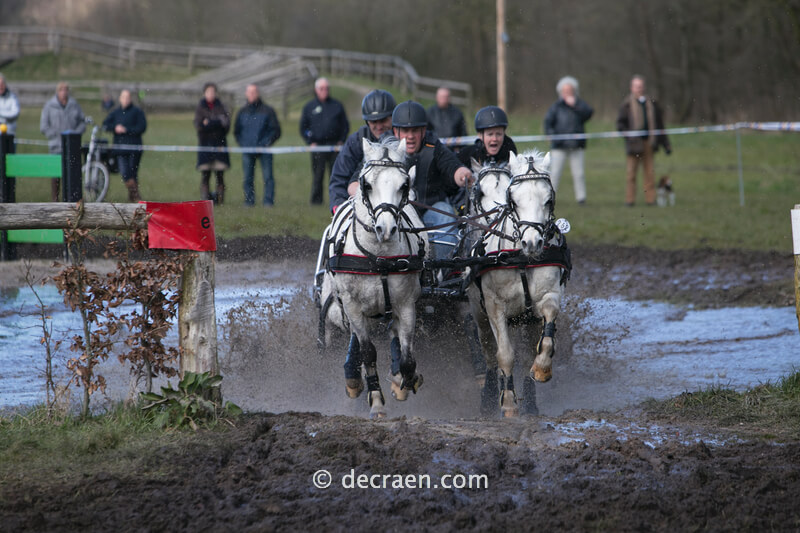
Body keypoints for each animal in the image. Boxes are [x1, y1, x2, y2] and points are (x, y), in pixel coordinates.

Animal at [320, 136, 428, 418]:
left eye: (404, 184)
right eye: (366, 184)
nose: (386, 229)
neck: (378, 258)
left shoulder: (406, 304)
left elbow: (407, 356)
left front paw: (405, 380)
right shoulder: (353, 306)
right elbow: (367, 352)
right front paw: (376, 401)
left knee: (394, 334)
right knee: (357, 342)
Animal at [464, 150, 571, 417]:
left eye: (548, 199)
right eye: (513, 199)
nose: (532, 243)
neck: (521, 259)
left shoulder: (548, 297)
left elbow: (544, 339)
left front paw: (542, 368)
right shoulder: (494, 307)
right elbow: (504, 355)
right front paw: (509, 402)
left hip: (528, 320)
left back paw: (530, 402)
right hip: (478, 313)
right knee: (489, 354)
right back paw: (489, 396)